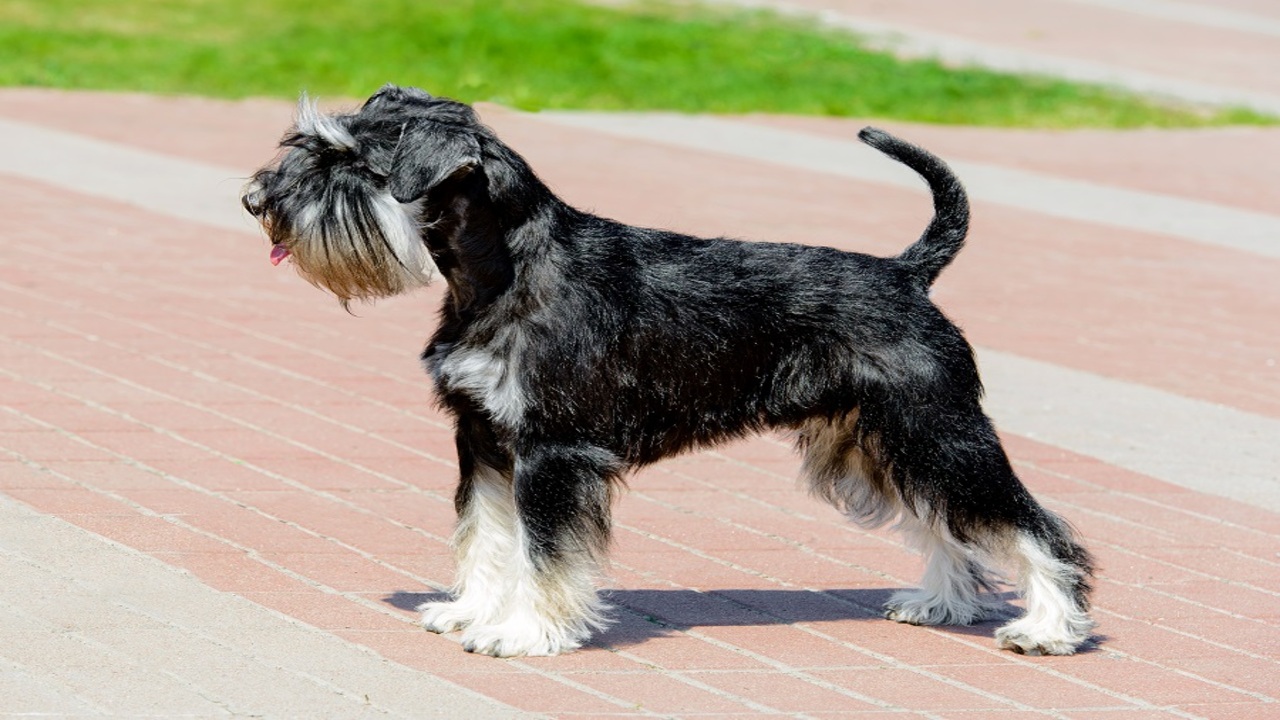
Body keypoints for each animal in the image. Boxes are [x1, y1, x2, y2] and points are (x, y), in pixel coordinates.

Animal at [244, 83, 1095, 655]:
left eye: (352, 160)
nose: (257, 199)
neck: (503, 272)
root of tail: (907, 273)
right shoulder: (482, 439)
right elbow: (483, 534)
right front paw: (470, 611)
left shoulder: (553, 452)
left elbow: (540, 551)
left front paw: (524, 632)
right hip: (874, 445)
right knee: (945, 520)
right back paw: (941, 603)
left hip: (936, 431)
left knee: (1031, 525)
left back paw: (1049, 627)